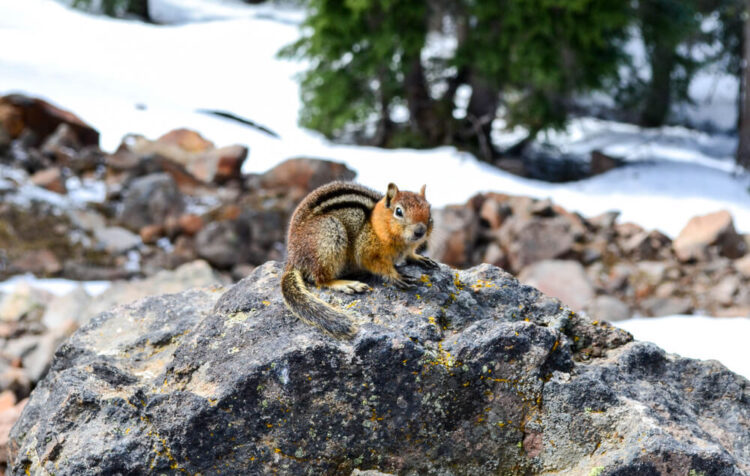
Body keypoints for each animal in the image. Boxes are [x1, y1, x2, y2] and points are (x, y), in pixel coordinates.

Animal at [282, 181, 438, 338]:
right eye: (398, 211)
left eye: (429, 211)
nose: (420, 231)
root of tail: (293, 257)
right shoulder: (366, 249)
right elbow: (377, 265)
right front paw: (395, 276)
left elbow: (410, 254)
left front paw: (419, 258)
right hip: (330, 233)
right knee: (320, 279)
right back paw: (347, 284)